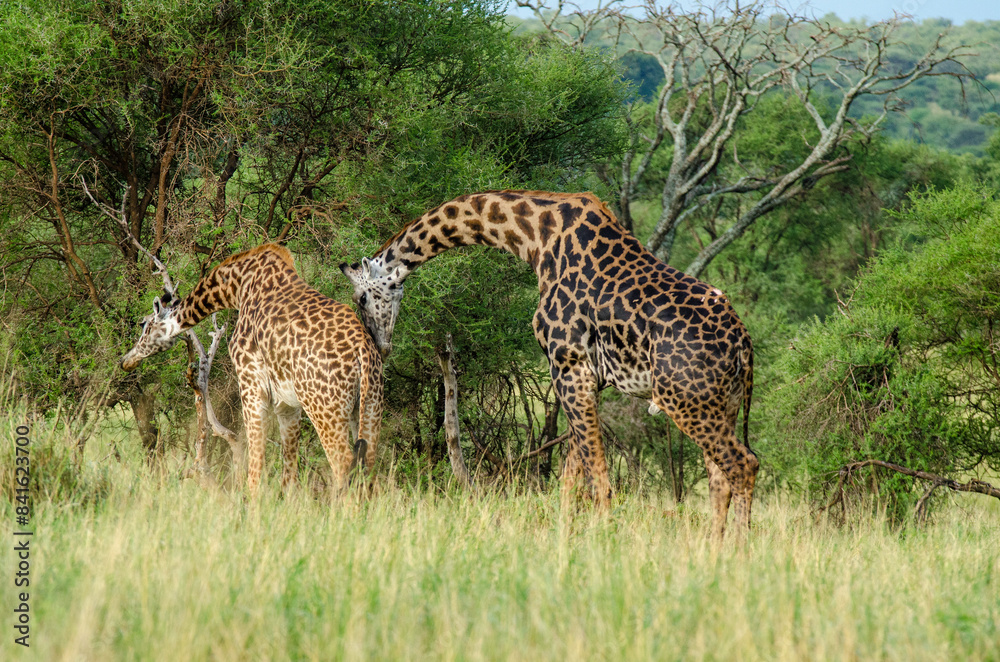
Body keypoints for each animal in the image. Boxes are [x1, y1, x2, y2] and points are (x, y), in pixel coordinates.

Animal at [121, 243, 398, 495]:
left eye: (144, 325)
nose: (126, 360)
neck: (237, 286)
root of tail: (363, 350)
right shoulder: (288, 405)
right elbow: (289, 474)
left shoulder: (251, 385)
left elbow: (254, 464)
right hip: (369, 405)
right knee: (368, 466)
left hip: (325, 408)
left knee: (343, 465)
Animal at [340, 191, 758, 539]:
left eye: (361, 298)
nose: (380, 346)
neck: (534, 237)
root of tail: (744, 346)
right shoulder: (586, 376)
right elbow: (572, 476)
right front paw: (567, 541)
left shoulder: (568, 363)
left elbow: (596, 479)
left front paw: (602, 545)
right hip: (721, 403)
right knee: (720, 477)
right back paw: (712, 550)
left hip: (683, 400)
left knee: (744, 464)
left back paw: (737, 551)